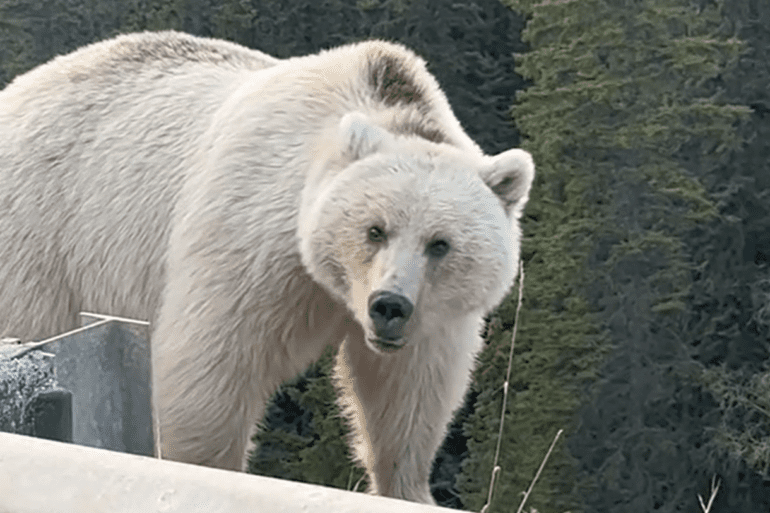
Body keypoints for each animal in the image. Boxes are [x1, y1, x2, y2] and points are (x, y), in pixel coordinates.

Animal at [0, 31, 534, 504]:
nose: (389, 305)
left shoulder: (432, 319)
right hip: (42, 235)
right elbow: (208, 368)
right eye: (375, 229)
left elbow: (409, 398)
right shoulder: (254, 243)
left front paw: (409, 488)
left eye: (440, 243)